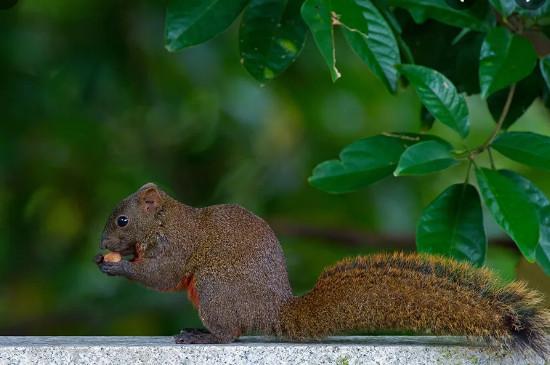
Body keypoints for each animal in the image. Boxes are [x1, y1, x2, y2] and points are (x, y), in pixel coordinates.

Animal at [96, 182, 550, 356]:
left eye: (121, 220)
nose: (102, 246)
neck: (163, 222)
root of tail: (273, 310)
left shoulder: (178, 247)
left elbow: (163, 276)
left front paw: (119, 268)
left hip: (213, 287)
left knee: (230, 333)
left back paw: (202, 335)